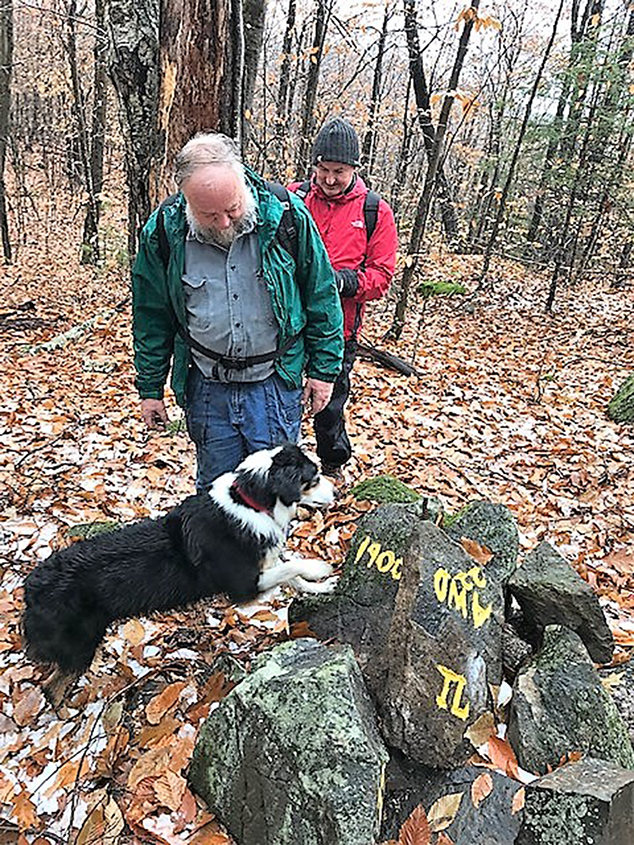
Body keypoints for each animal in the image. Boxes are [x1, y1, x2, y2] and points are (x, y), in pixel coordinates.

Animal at [22, 446, 334, 704]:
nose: (338, 492)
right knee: (52, 688)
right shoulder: (243, 586)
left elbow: (291, 573)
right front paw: (319, 568)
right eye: (314, 478)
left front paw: (321, 587)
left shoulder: (263, 563)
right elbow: (291, 567)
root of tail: (32, 588)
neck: (249, 501)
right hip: (80, 646)